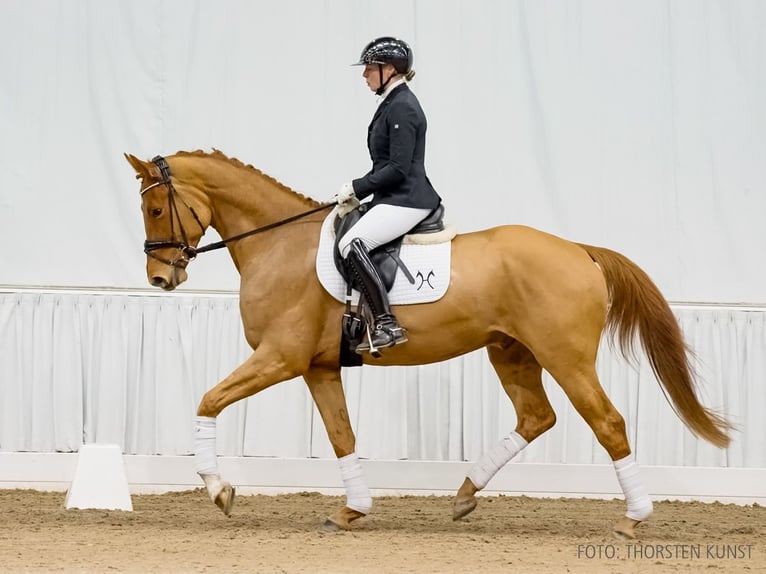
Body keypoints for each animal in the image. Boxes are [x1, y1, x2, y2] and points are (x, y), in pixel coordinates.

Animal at [126, 151, 732, 544]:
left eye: (155, 209)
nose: (161, 278)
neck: (278, 244)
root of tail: (578, 250)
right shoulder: (319, 367)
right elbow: (342, 436)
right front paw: (352, 510)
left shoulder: (280, 357)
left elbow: (207, 399)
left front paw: (218, 490)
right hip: (510, 352)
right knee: (536, 417)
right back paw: (464, 494)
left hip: (566, 357)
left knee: (607, 423)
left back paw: (634, 517)